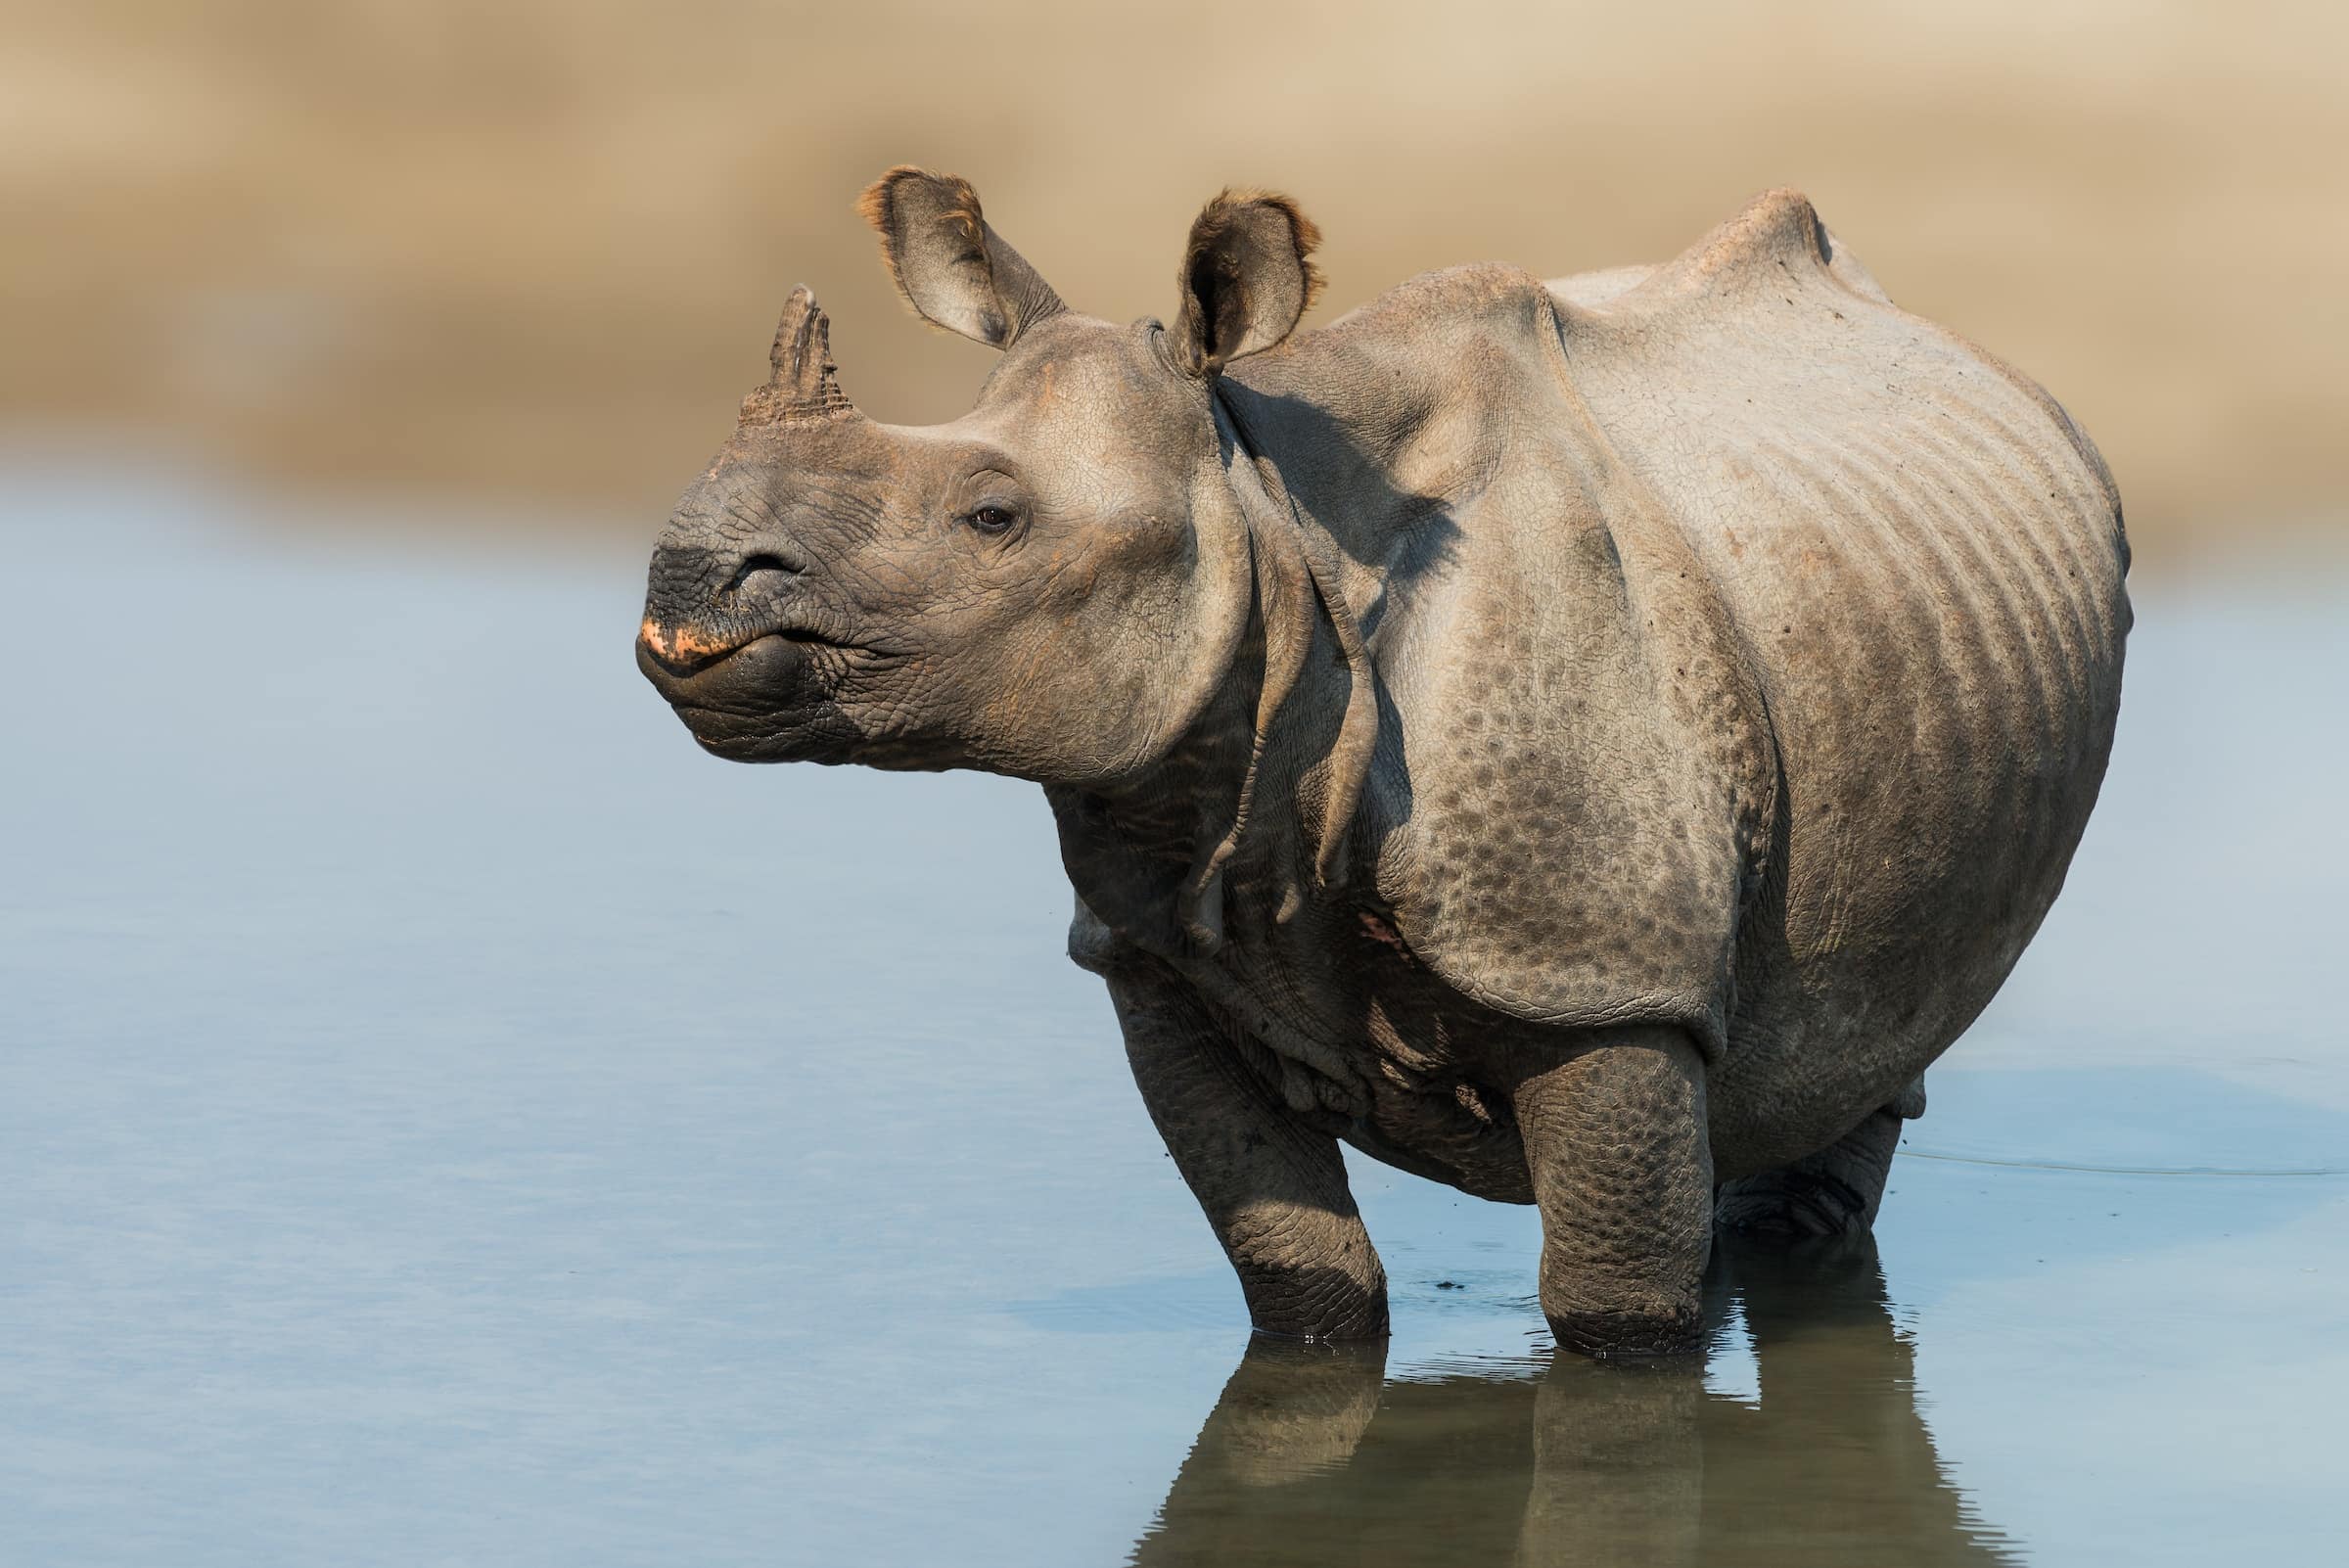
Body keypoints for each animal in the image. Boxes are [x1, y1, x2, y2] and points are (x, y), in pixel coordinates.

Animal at [637, 168, 2130, 1355]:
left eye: (992, 517)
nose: (687, 577)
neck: (1269, 519)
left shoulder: (1607, 978)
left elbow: (1614, 1316)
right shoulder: (1158, 950)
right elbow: (1302, 1282)